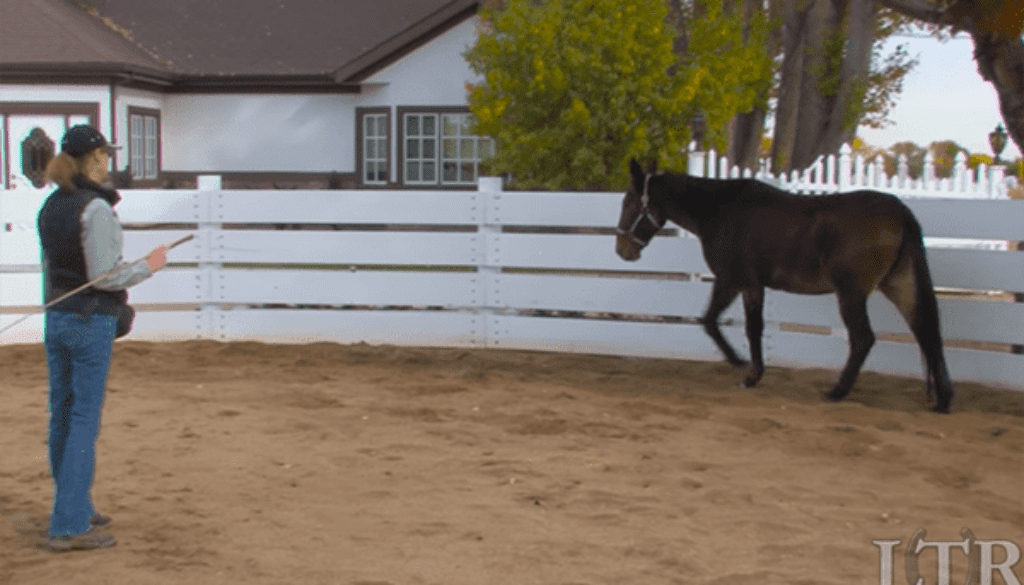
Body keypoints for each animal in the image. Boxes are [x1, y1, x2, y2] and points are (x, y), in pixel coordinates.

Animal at [615, 158, 954, 413]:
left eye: (629, 200)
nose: (622, 250)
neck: (720, 209)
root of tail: (900, 211)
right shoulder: (749, 285)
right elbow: (742, 326)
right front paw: (751, 372)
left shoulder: (734, 280)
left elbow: (718, 322)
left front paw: (743, 367)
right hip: (898, 285)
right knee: (927, 331)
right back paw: (943, 399)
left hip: (852, 293)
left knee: (864, 339)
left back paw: (837, 391)